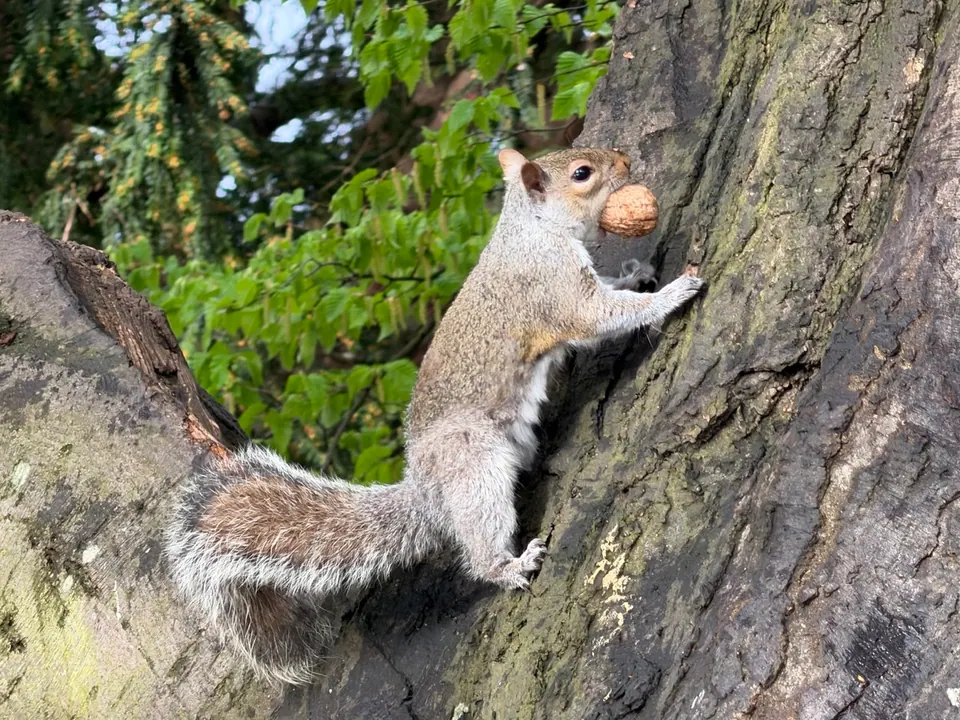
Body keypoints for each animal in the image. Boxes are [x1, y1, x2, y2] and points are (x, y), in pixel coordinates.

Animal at [165, 147, 704, 685]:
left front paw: (636, 273)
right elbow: (599, 317)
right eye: (581, 173)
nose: (624, 161)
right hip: (473, 462)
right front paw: (672, 293)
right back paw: (511, 566)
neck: (531, 230)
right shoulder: (554, 287)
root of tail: (428, 490)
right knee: (481, 544)